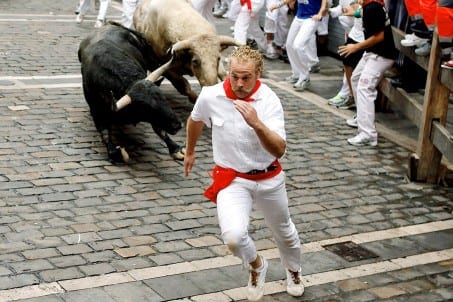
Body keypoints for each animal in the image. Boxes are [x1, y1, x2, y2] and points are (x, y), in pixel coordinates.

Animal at [77, 22, 184, 163]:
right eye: (146, 108)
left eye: (163, 98)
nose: (177, 125)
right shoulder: (97, 111)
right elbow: (106, 137)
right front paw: (119, 152)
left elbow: (160, 130)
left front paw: (176, 149)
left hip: (150, 57)